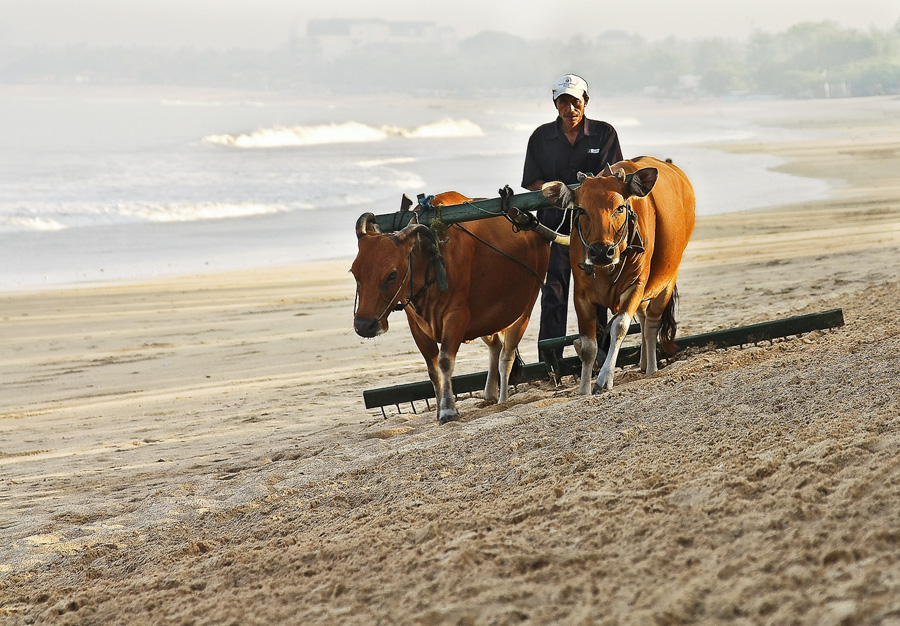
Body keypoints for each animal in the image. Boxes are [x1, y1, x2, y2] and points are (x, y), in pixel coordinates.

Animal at [354, 193, 556, 422]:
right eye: (354, 272)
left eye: (392, 274)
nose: (364, 325)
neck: (431, 263)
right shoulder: (417, 327)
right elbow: (433, 369)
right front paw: (440, 410)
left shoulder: (457, 316)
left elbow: (444, 361)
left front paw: (448, 410)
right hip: (486, 321)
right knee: (495, 346)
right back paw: (489, 392)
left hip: (522, 312)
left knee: (507, 356)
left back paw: (503, 398)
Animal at [540, 155, 696, 390]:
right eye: (581, 210)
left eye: (620, 208)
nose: (600, 252)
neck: (607, 270)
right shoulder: (581, 295)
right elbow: (588, 346)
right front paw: (584, 389)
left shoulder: (636, 285)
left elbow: (619, 327)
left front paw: (605, 378)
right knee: (643, 317)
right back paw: (643, 363)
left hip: (667, 281)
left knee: (651, 323)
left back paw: (651, 368)